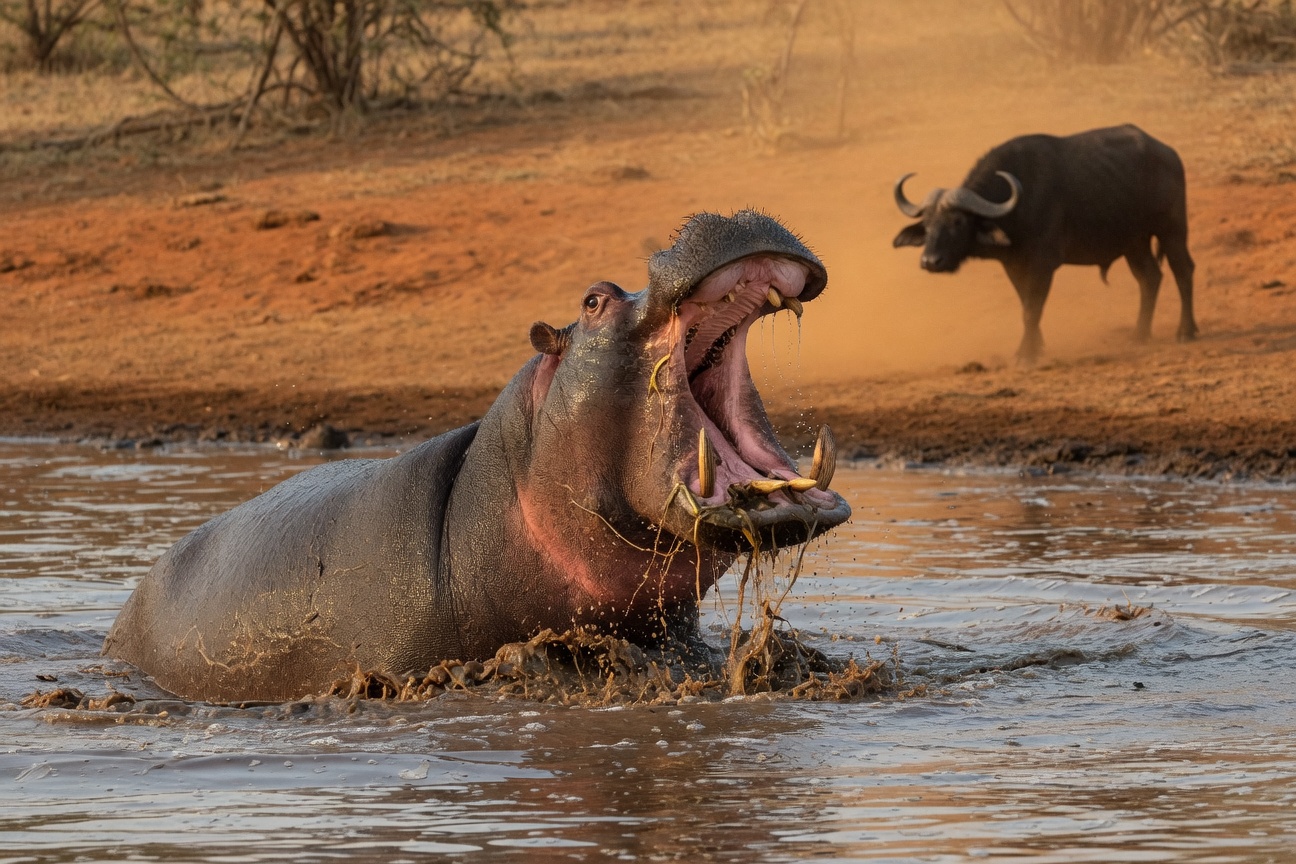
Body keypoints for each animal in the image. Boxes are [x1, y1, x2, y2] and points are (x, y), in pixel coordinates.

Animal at [892, 124, 1197, 361]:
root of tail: (1168, 153)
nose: (931, 261)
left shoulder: (1043, 264)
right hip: (1134, 242)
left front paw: (1025, 354)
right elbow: (1025, 304)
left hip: (1172, 230)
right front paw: (1036, 346)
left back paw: (1186, 331)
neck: (1017, 207)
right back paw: (1139, 334)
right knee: (1150, 277)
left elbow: (1032, 307)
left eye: (958, 222)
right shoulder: (1013, 265)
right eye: (928, 223)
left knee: (1183, 270)